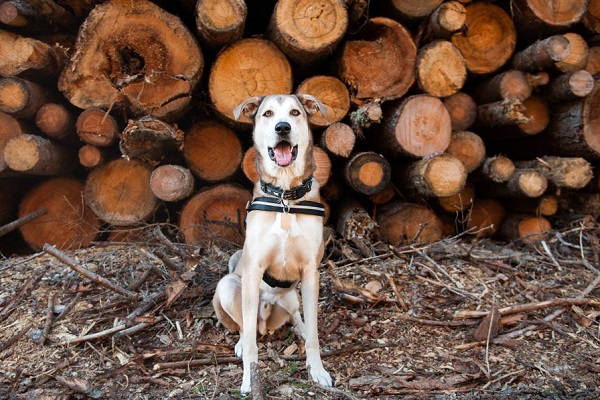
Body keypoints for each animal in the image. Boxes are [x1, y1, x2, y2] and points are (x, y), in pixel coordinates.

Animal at [212, 94, 332, 394]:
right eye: (267, 114)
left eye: (295, 112)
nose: (282, 127)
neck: (285, 197)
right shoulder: (253, 269)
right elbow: (251, 344)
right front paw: (248, 380)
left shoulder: (311, 272)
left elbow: (314, 333)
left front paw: (318, 371)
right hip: (229, 286)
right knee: (246, 327)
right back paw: (242, 342)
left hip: (292, 296)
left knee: (296, 315)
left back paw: (300, 327)